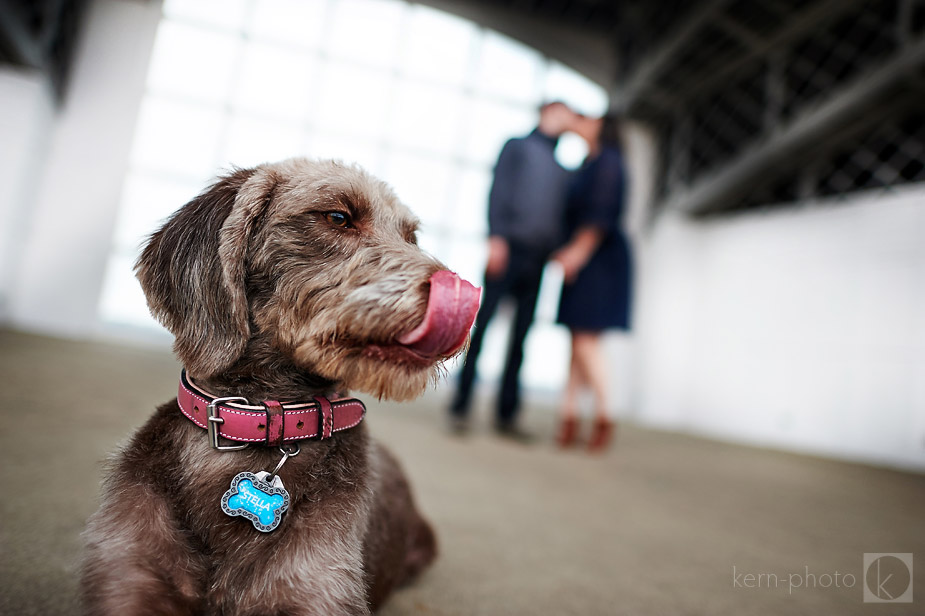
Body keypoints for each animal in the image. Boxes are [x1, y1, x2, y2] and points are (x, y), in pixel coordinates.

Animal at [81, 159, 476, 616]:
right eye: (338, 217)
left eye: (410, 237)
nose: (468, 297)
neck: (264, 421)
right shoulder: (129, 574)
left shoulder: (314, 589)